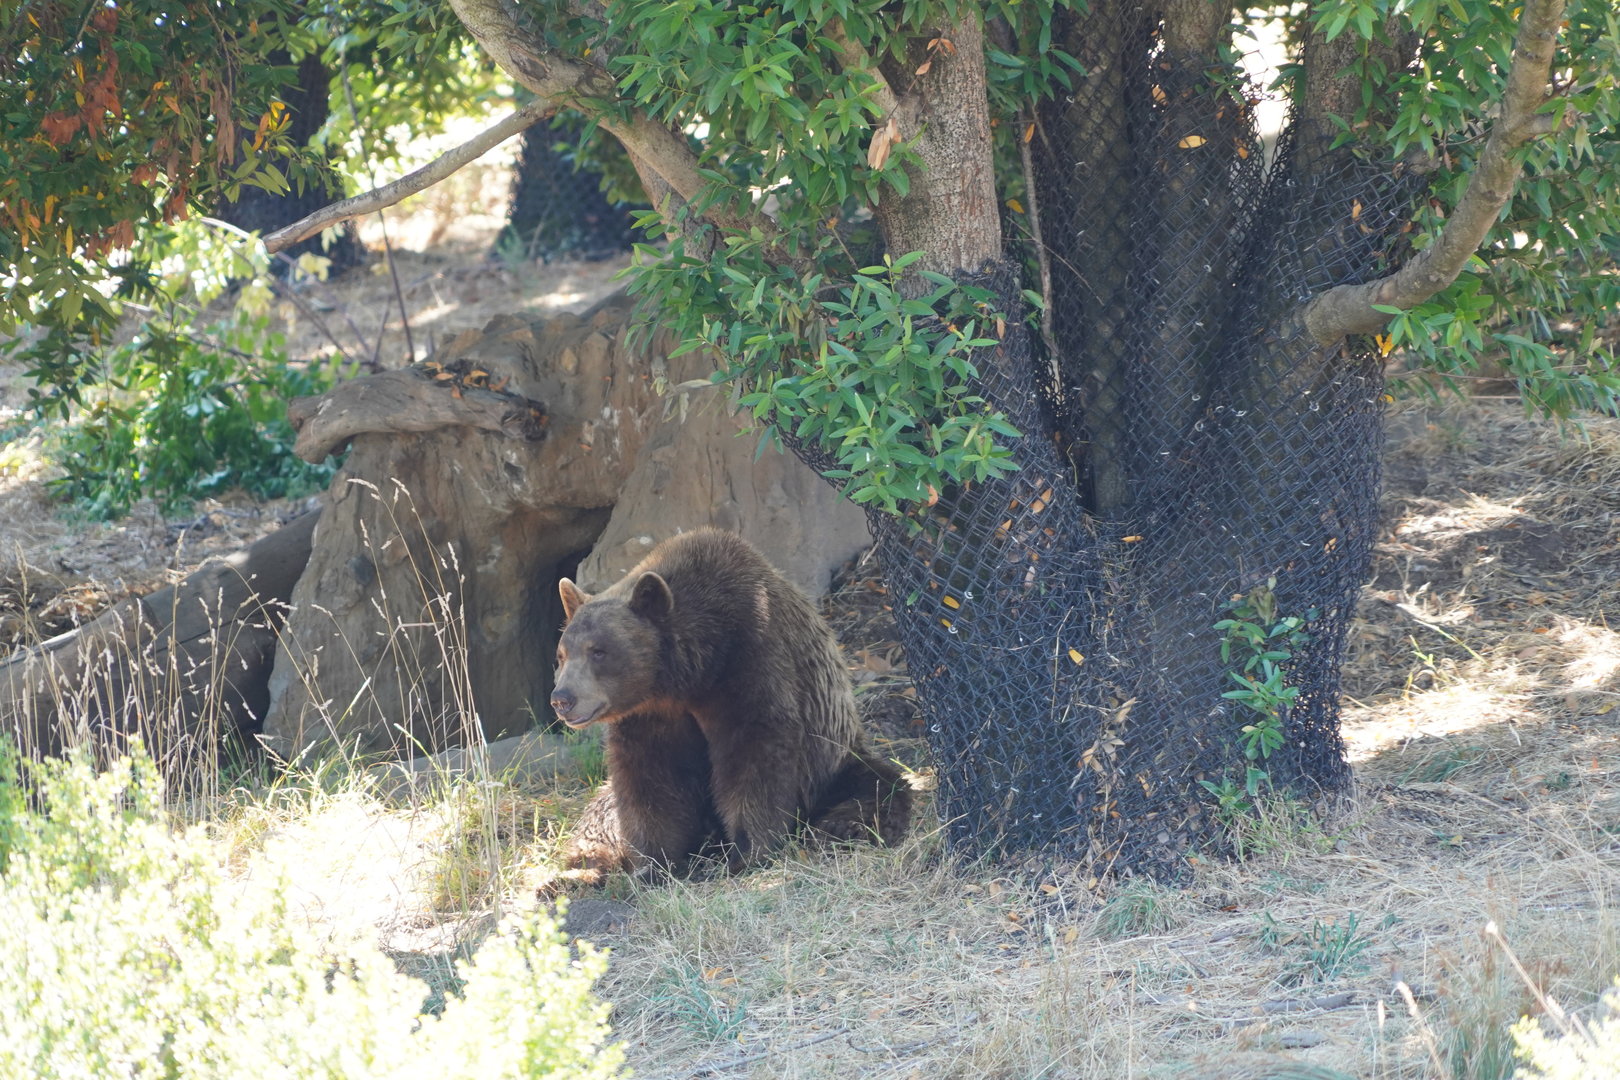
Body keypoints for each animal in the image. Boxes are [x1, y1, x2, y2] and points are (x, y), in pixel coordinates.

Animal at [549, 528, 911, 884]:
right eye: (562, 654)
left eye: (599, 651)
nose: (562, 699)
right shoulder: (652, 713)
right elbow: (649, 777)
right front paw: (654, 865)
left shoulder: (751, 658)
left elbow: (755, 755)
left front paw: (746, 852)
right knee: (601, 814)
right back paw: (577, 871)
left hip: (835, 762)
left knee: (875, 792)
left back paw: (836, 830)